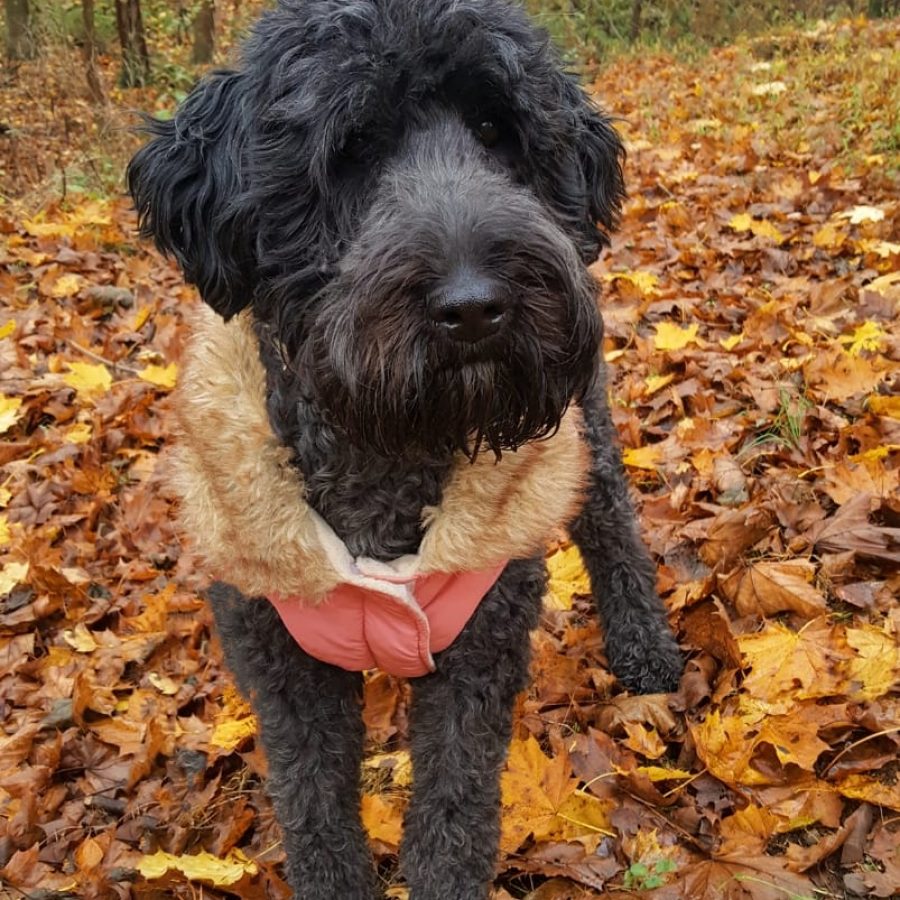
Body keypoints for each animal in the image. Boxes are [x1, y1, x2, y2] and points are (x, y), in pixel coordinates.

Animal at [128, 1, 684, 900]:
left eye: (496, 130)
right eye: (350, 149)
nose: (476, 306)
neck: (386, 447)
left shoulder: (479, 646)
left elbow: (453, 815)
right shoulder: (280, 664)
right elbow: (314, 809)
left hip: (589, 428)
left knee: (611, 531)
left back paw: (644, 647)